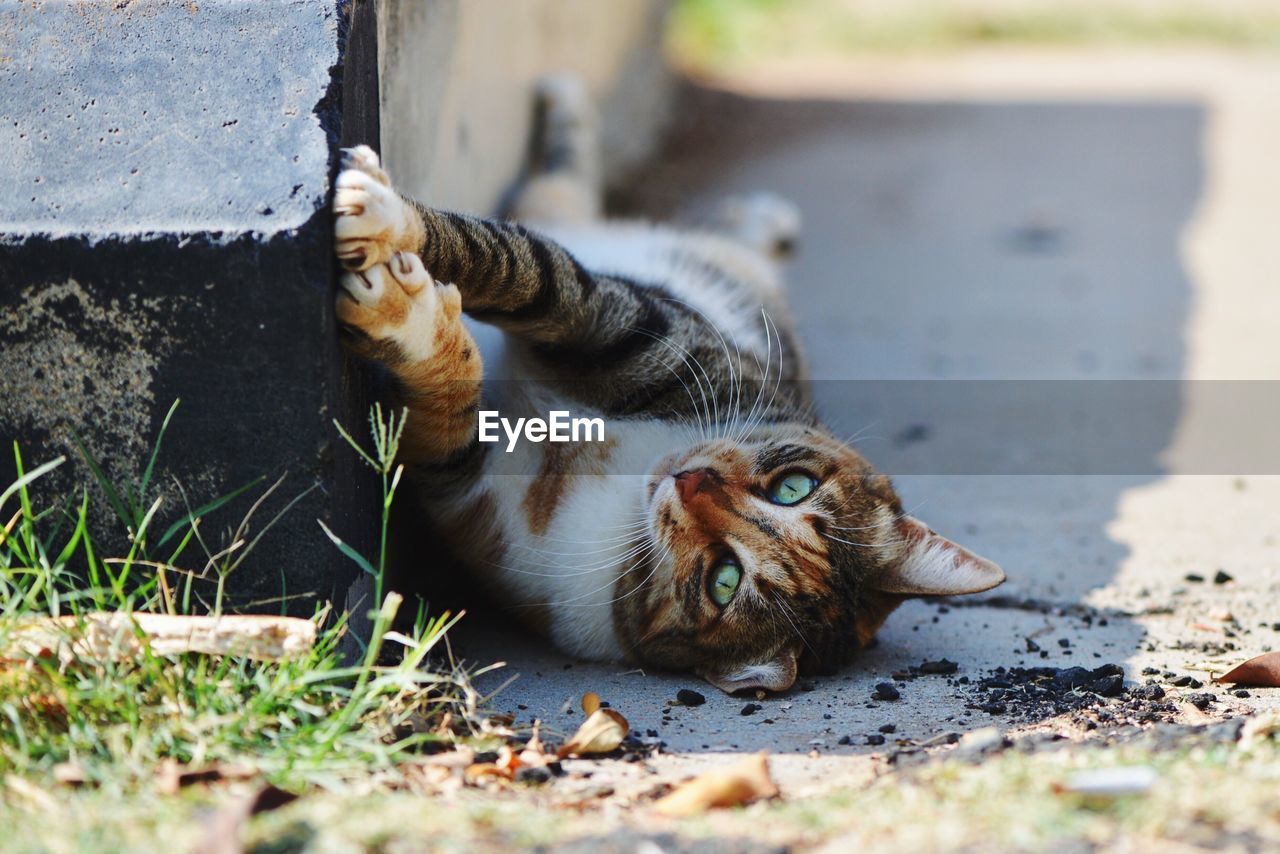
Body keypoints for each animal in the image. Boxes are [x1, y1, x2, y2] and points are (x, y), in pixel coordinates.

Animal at [330, 76, 998, 696]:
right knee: (567, 203)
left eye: (723, 580)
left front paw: (397, 292)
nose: (692, 480)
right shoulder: (644, 333)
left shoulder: (472, 496)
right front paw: (392, 224)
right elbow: (522, 268)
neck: (615, 475)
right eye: (793, 488)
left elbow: (451, 401)